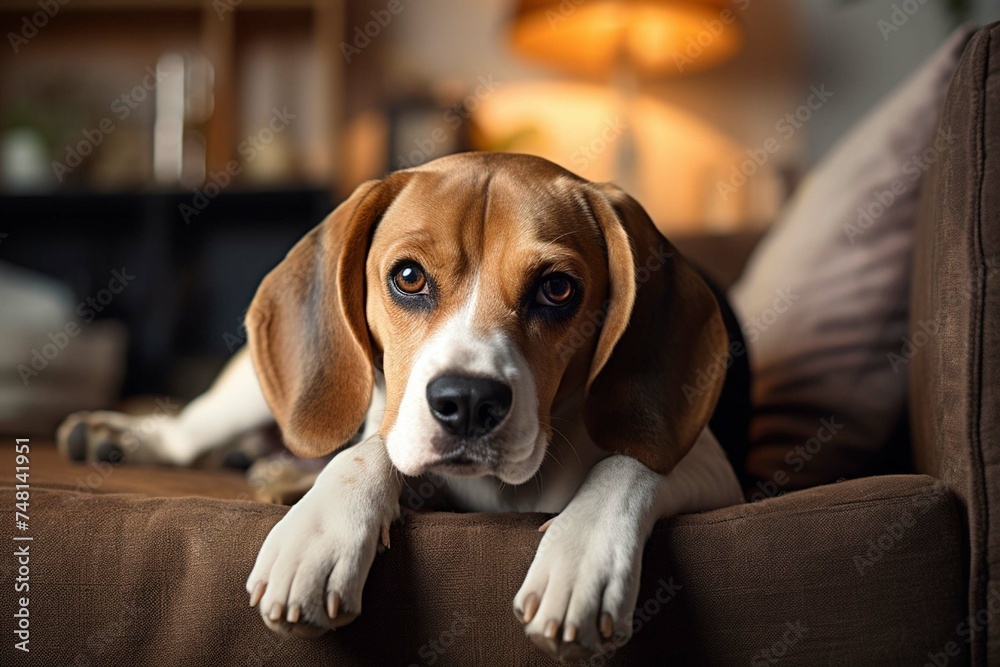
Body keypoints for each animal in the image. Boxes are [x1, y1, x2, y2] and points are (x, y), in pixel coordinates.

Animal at [54, 154, 744, 660]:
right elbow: (368, 449)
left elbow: (628, 464)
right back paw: (128, 440)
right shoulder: (391, 431)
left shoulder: (715, 466)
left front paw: (583, 560)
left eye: (557, 289)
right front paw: (319, 534)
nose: (468, 401)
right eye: (409, 277)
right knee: (193, 432)